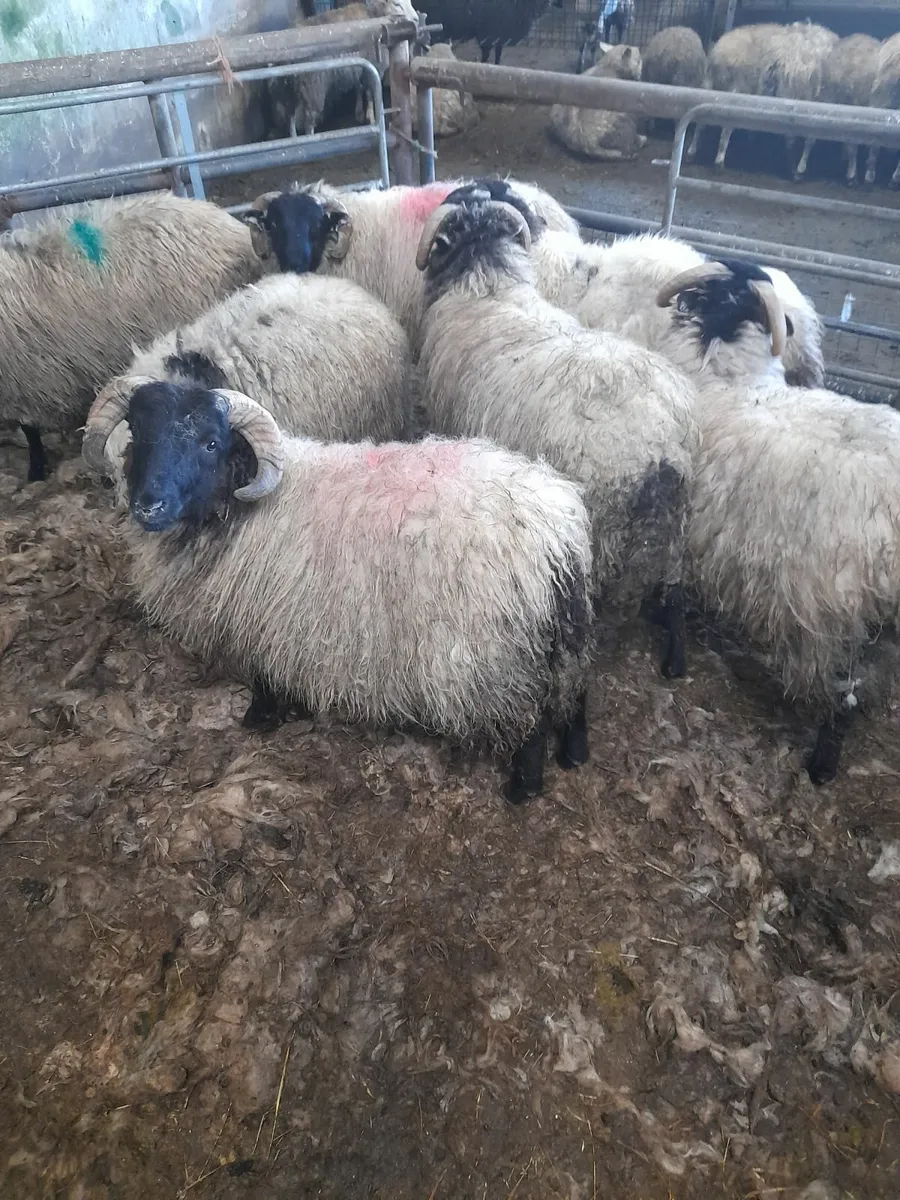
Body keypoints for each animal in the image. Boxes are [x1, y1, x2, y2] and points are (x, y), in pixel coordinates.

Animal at [82, 380, 593, 803]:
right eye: (136, 432)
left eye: (210, 442)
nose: (149, 506)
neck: (244, 506)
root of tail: (556, 534)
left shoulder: (264, 619)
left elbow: (262, 677)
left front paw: (260, 718)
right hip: (563, 632)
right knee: (576, 689)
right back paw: (575, 754)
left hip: (493, 653)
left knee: (531, 719)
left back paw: (523, 788)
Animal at [415, 190, 700, 679]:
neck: (487, 282)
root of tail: (659, 444)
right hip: (680, 521)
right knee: (676, 589)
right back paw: (675, 662)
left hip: (603, 532)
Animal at [421, 0, 551, 66]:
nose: (538, 11)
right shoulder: (487, 34)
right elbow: (487, 53)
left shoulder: (498, 35)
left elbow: (498, 52)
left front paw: (497, 65)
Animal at [655, 258, 900, 781]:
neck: (727, 379)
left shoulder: (685, 524)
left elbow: (675, 600)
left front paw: (673, 662)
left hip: (836, 611)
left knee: (844, 694)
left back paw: (822, 767)